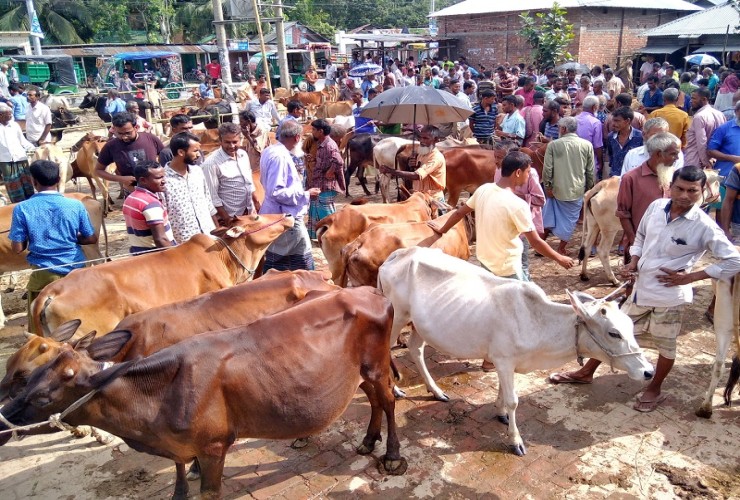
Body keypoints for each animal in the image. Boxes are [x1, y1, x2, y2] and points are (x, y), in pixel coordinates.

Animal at [0, 288, 404, 498]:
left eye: (54, 387)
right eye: (33, 375)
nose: (8, 413)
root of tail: (368, 290)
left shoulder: (213, 446)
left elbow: (209, 491)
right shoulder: (179, 443)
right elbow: (179, 475)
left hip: (377, 367)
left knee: (387, 400)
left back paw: (392, 455)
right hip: (359, 374)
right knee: (373, 400)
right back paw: (368, 441)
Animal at [378, 247, 652, 458]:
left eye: (631, 326)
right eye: (614, 333)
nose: (648, 371)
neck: (536, 320)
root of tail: (398, 254)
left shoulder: (507, 362)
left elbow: (503, 393)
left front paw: (500, 413)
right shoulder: (503, 359)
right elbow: (513, 400)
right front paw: (515, 440)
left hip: (420, 325)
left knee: (416, 348)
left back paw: (435, 391)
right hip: (397, 317)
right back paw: (397, 389)